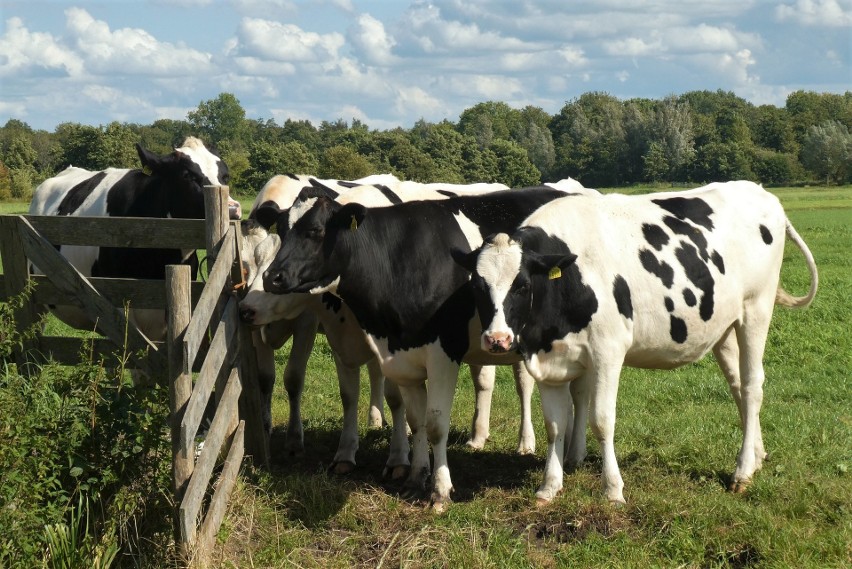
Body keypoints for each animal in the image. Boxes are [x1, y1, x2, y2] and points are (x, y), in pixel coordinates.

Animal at [262, 186, 580, 510]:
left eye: (315, 230)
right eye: (282, 229)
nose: (271, 277)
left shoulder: (443, 354)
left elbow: (436, 424)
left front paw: (440, 490)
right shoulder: (400, 355)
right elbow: (416, 422)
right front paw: (416, 479)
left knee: (534, 387)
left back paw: (531, 445)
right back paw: (569, 453)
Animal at [452, 180, 820, 504]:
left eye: (523, 285)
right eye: (477, 286)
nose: (497, 339)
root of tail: (758, 191)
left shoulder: (608, 350)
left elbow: (602, 420)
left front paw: (612, 489)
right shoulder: (547, 357)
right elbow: (555, 425)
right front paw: (549, 487)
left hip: (756, 309)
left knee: (753, 385)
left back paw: (742, 471)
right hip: (725, 327)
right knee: (738, 386)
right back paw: (756, 456)